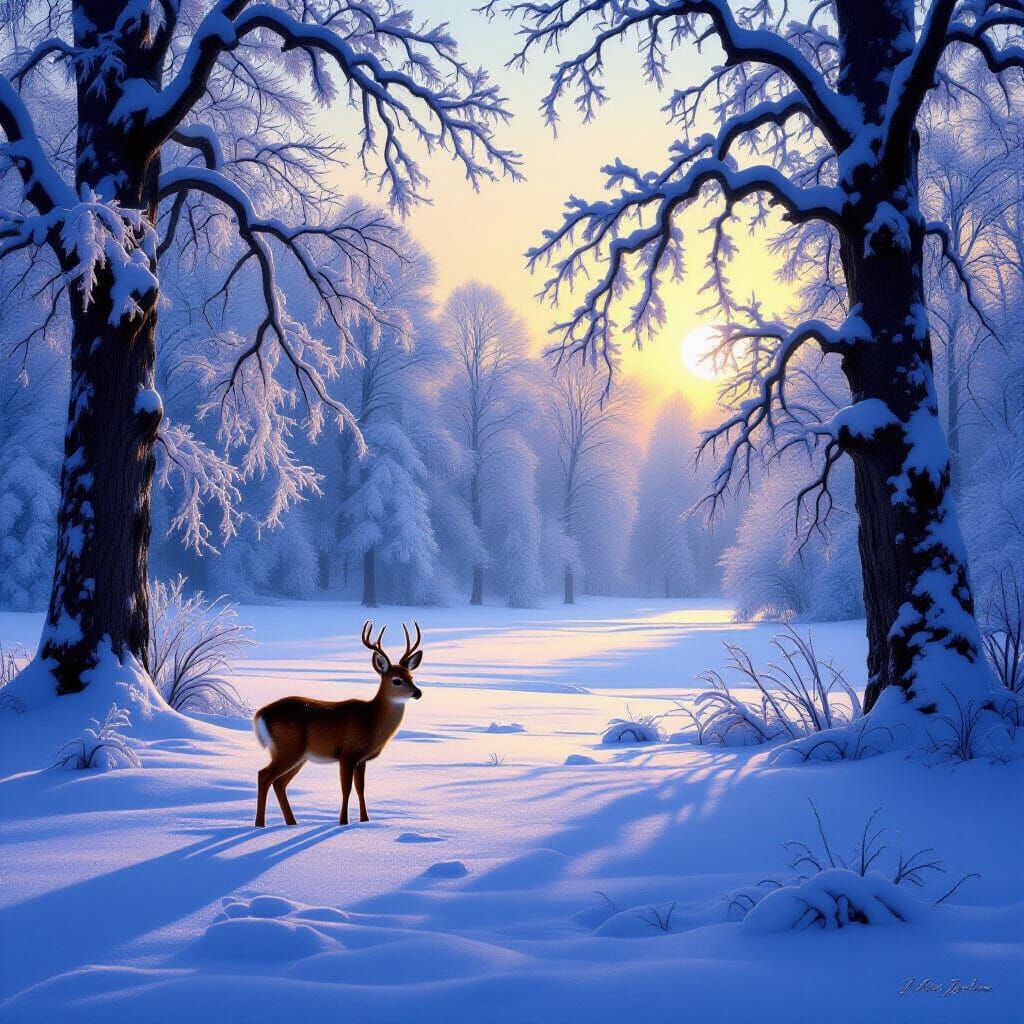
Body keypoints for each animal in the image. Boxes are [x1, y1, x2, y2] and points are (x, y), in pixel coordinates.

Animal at [253, 620, 423, 827]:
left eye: (411, 677)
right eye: (396, 680)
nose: (418, 692)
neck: (371, 720)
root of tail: (261, 714)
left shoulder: (361, 759)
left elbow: (360, 788)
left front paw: (365, 820)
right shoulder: (347, 754)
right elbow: (346, 789)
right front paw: (343, 822)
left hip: (299, 755)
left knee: (279, 783)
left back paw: (291, 823)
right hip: (288, 749)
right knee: (264, 776)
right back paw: (260, 825)